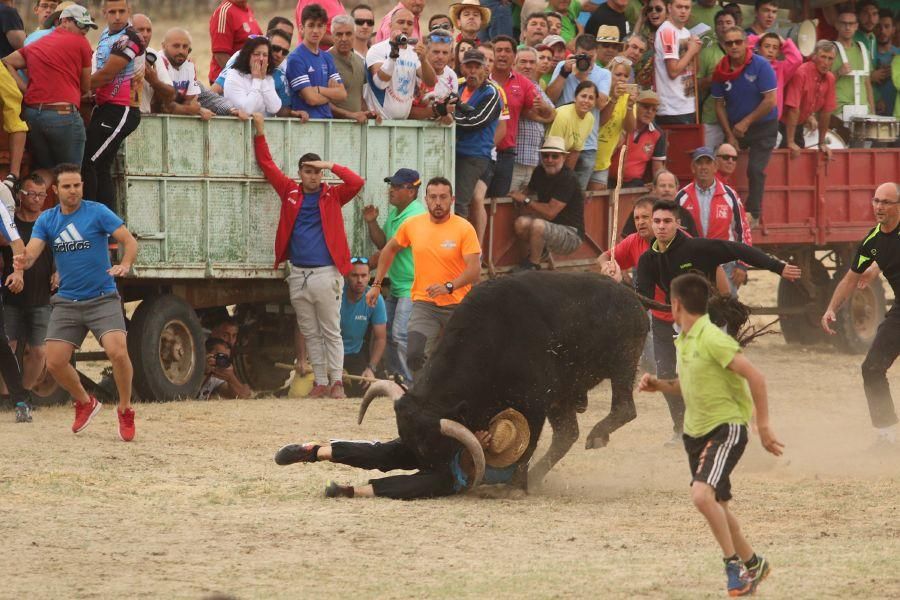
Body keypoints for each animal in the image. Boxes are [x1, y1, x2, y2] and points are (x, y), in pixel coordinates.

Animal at [358, 272, 668, 492]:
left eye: (434, 449)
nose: (440, 481)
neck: (492, 338)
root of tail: (631, 294)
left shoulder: (534, 404)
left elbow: (526, 447)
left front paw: (514, 485)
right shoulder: (544, 400)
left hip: (622, 365)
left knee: (623, 408)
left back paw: (594, 438)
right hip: (564, 395)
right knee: (567, 434)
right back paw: (538, 476)